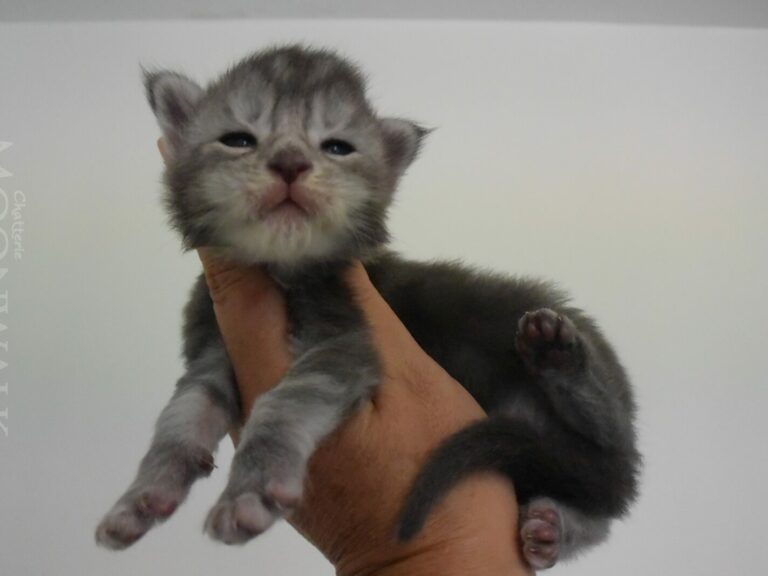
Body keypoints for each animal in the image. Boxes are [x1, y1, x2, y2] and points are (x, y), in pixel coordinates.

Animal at [95, 45, 639, 570]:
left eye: (337, 147)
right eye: (238, 139)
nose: (290, 162)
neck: (281, 270)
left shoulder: (345, 342)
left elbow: (283, 403)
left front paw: (250, 492)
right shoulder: (211, 350)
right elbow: (181, 416)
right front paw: (141, 497)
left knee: (606, 445)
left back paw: (559, 357)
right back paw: (552, 528)